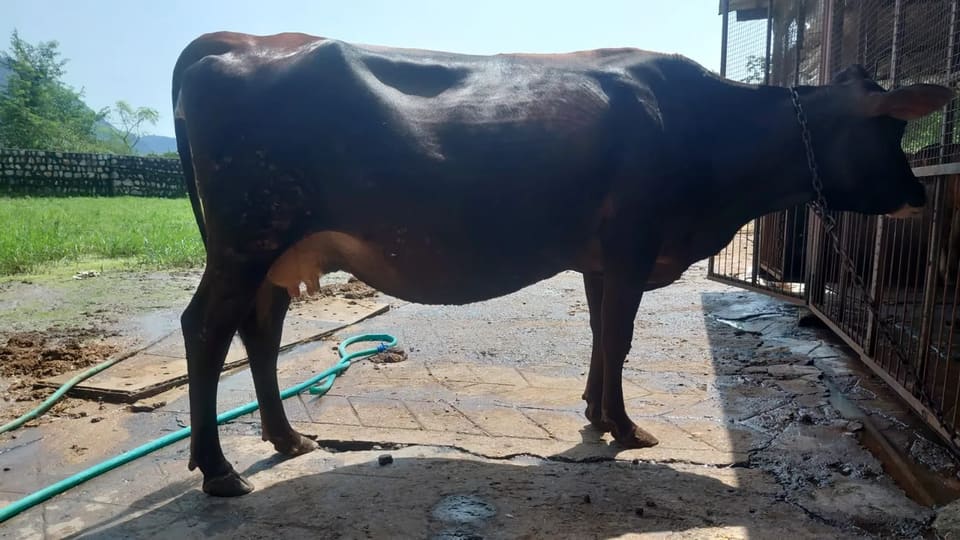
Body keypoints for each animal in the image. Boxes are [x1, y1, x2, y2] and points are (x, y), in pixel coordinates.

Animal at [172, 31, 952, 497]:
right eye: (891, 129)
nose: (921, 196)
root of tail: (237, 42)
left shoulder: (601, 259)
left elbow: (603, 336)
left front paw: (595, 414)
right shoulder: (634, 247)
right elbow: (621, 337)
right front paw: (627, 428)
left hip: (276, 252)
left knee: (260, 332)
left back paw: (286, 438)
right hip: (246, 241)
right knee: (206, 329)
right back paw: (219, 470)